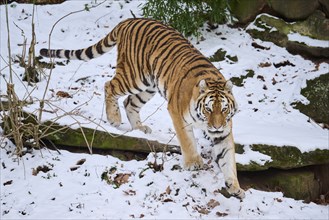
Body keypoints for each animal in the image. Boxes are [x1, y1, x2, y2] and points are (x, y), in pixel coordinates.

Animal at [39, 18, 243, 199]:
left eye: (224, 109)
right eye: (208, 109)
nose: (216, 126)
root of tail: (128, 21)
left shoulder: (224, 131)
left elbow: (228, 158)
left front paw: (234, 186)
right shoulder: (178, 114)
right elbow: (188, 142)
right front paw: (194, 163)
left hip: (148, 85)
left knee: (130, 102)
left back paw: (139, 128)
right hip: (134, 76)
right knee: (109, 86)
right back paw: (114, 118)